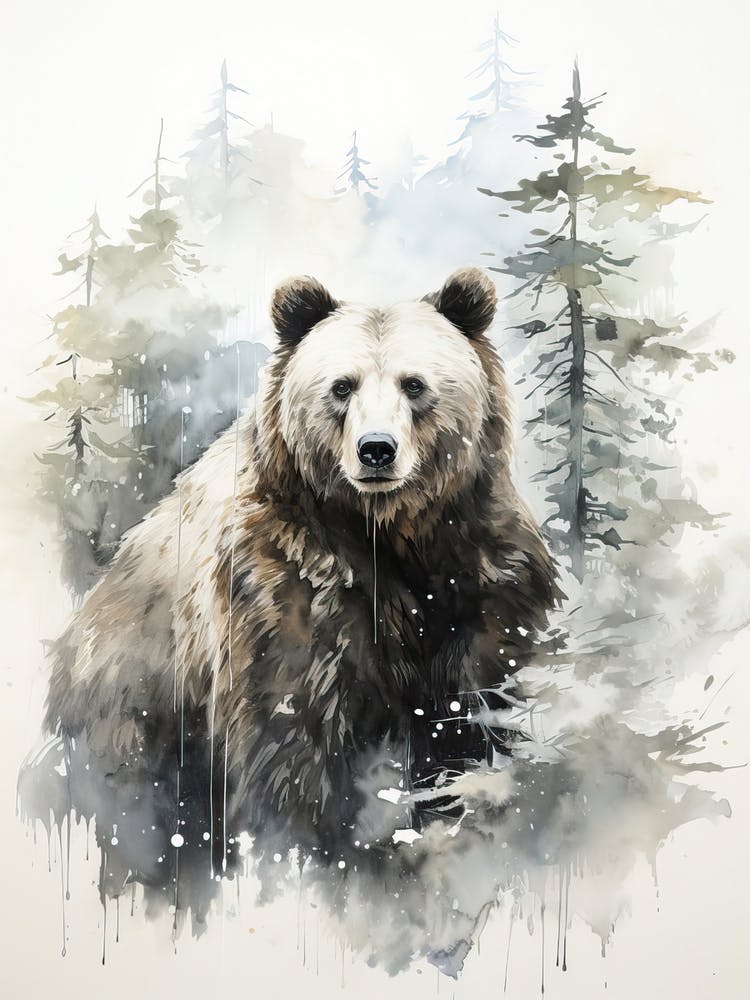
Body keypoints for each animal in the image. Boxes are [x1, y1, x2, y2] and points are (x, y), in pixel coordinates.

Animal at [40, 266, 558, 906]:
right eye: (342, 386)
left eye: (414, 384)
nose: (376, 450)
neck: (392, 537)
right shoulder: (288, 597)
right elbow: (292, 743)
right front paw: (313, 857)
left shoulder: (480, 584)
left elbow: (471, 718)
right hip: (131, 714)